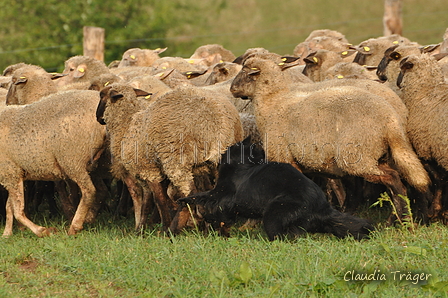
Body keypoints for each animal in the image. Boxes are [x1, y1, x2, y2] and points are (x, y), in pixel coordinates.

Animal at [0, 89, 107, 236]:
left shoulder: (9, 171)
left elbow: (17, 211)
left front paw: (42, 231)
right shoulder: (13, 173)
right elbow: (9, 207)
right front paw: (7, 234)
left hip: (73, 158)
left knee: (89, 191)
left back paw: (75, 226)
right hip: (92, 163)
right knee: (101, 190)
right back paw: (89, 218)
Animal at [96, 84, 245, 230]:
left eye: (102, 96)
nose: (98, 118)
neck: (127, 126)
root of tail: (218, 122)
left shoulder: (147, 170)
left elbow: (158, 200)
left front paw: (148, 228)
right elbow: (157, 199)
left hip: (177, 160)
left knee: (189, 196)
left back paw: (171, 230)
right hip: (219, 160)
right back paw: (221, 230)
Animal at [178, 137, 374, 240]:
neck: (242, 163)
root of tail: (321, 207)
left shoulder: (222, 195)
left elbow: (203, 196)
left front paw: (184, 200)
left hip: (274, 214)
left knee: (283, 237)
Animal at [231, 56, 430, 224]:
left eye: (245, 73)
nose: (232, 89)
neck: (272, 103)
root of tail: (391, 120)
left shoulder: (285, 158)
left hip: (357, 155)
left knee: (393, 180)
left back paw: (400, 220)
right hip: (379, 154)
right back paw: (401, 220)